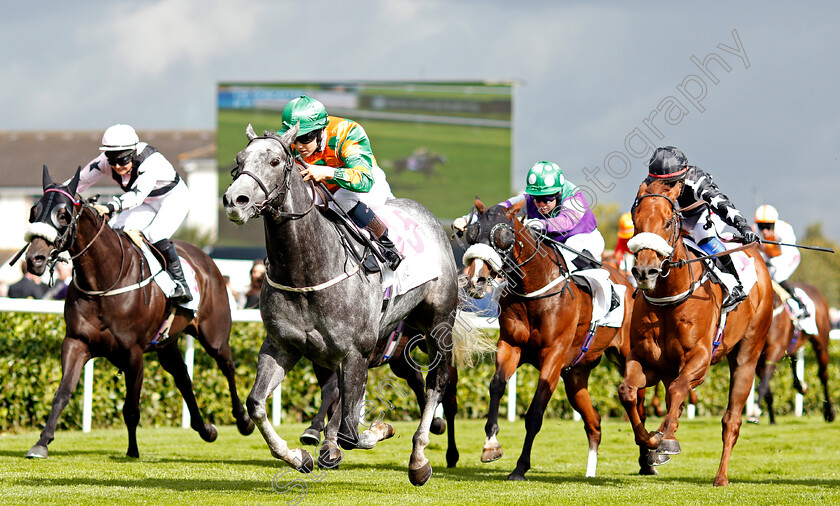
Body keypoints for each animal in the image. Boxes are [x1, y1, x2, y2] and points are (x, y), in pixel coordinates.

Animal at [24, 165, 254, 458]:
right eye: (34, 211)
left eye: (63, 215)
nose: (35, 259)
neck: (104, 281)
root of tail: (207, 260)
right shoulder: (76, 342)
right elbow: (63, 392)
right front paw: (41, 442)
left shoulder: (133, 353)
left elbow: (131, 408)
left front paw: (132, 451)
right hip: (167, 344)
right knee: (184, 378)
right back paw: (205, 429)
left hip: (214, 335)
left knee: (227, 366)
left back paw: (244, 420)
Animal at [220, 123, 466, 486]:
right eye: (238, 161)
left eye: (276, 161)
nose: (236, 200)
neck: (308, 269)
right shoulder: (282, 344)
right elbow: (257, 404)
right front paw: (299, 456)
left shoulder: (355, 352)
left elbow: (351, 430)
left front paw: (377, 430)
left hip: (439, 324)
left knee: (437, 383)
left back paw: (419, 459)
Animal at [456, 198, 640, 478]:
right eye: (473, 234)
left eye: (501, 236)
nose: (475, 280)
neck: (534, 290)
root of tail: (629, 284)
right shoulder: (511, 346)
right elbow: (497, 386)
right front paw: (491, 445)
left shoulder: (553, 355)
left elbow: (534, 414)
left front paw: (520, 467)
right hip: (575, 375)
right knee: (594, 422)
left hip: (627, 354)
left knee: (635, 398)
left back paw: (652, 454)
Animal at [616, 180, 776, 488]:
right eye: (635, 221)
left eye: (668, 222)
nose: (644, 271)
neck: (669, 297)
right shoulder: (646, 361)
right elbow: (628, 392)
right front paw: (652, 441)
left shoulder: (700, 358)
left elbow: (679, 389)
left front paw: (665, 439)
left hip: (748, 354)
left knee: (731, 420)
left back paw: (721, 476)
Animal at [752, 282, 836, 424]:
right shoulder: (757, 359)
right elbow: (767, 388)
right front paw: (772, 419)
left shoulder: (775, 350)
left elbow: (763, 385)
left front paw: (754, 414)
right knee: (794, 360)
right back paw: (801, 387)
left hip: (821, 344)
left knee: (823, 376)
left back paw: (829, 413)